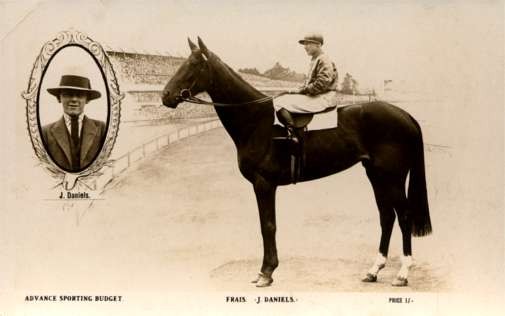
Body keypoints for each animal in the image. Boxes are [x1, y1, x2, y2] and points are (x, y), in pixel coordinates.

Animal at [160, 36, 430, 286]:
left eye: (194, 64)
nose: (165, 96)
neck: (256, 121)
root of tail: (405, 115)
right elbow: (266, 225)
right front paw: (265, 271)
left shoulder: (264, 184)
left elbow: (268, 226)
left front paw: (266, 273)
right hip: (376, 175)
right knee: (387, 216)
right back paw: (374, 270)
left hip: (392, 177)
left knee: (404, 216)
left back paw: (403, 273)